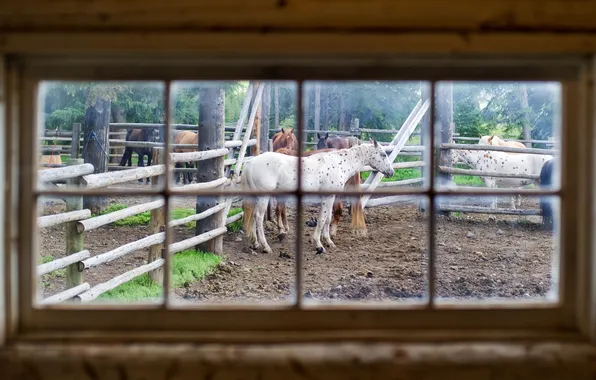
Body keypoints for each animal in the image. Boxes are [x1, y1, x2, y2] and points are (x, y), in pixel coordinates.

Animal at [240, 138, 394, 254]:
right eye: (383, 154)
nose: (391, 172)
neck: (339, 164)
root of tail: (250, 163)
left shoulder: (330, 197)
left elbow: (328, 219)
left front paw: (328, 241)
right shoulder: (327, 197)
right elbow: (322, 219)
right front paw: (319, 244)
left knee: (253, 216)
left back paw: (256, 243)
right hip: (263, 197)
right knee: (258, 217)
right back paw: (266, 246)